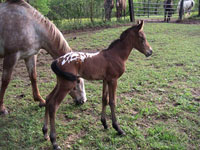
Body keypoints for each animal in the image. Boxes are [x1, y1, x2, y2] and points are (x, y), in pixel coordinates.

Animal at [43, 20, 153, 149]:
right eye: (142, 38)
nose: (150, 52)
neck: (116, 55)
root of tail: (58, 60)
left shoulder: (105, 80)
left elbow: (104, 99)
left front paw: (104, 123)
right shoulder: (113, 80)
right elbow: (112, 101)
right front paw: (118, 128)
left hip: (61, 82)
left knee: (48, 99)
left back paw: (45, 132)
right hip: (67, 85)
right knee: (53, 105)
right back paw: (54, 142)